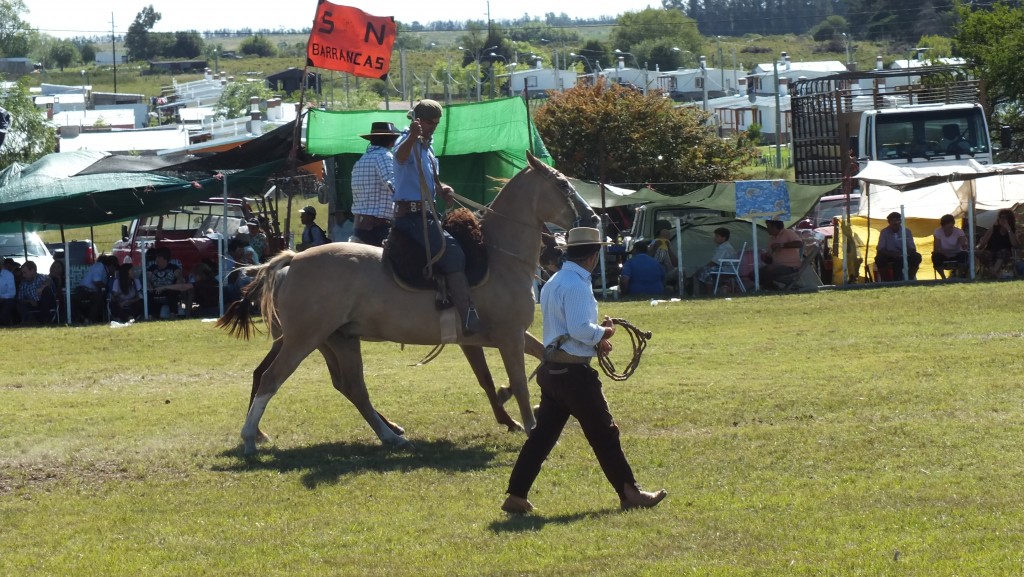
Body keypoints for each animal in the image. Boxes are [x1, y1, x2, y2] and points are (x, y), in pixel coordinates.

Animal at [219, 152, 598, 457]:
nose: (593, 218)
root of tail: (293, 259)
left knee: (352, 387)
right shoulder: (509, 337)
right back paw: (250, 438)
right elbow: (518, 380)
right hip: (303, 340)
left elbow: (532, 364)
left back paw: (392, 436)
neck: (498, 256)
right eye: (562, 184)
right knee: (271, 379)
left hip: (338, 340)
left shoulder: (497, 338)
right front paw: (530, 425)